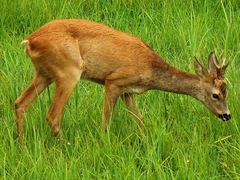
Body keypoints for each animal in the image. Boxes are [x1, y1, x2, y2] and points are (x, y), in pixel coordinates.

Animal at [15, 19, 231, 139]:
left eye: (226, 91)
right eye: (216, 95)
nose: (227, 115)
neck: (149, 68)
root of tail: (31, 40)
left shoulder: (129, 91)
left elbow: (140, 121)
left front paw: (147, 143)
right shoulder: (114, 81)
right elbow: (106, 121)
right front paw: (103, 144)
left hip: (44, 73)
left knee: (20, 103)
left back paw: (22, 145)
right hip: (69, 72)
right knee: (53, 115)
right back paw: (65, 144)